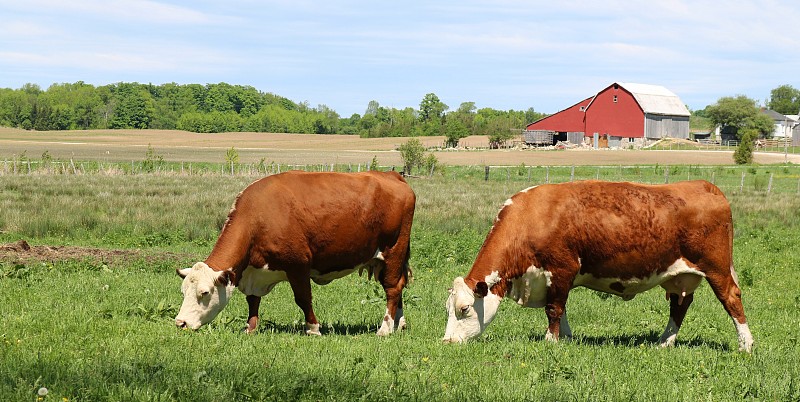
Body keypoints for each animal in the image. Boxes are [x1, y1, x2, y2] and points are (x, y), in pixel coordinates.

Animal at [173, 170, 416, 336]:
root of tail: (392, 175)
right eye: (183, 292)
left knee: (392, 288)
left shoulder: (298, 265)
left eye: (204, 292)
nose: (180, 323)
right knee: (399, 285)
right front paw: (250, 327)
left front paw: (313, 328)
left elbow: (303, 298)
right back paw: (400, 323)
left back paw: (385, 328)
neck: (258, 216)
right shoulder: (254, 271)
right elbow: (253, 300)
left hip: (394, 251)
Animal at [444, 180, 756, 352]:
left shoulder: (561, 269)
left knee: (731, 298)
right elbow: (562, 309)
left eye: (465, 309)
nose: (447, 342)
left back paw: (746, 345)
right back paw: (664, 342)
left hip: (716, 268)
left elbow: (553, 309)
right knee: (679, 306)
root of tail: (706, 186)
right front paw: (566, 338)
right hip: (682, 276)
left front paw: (551, 341)